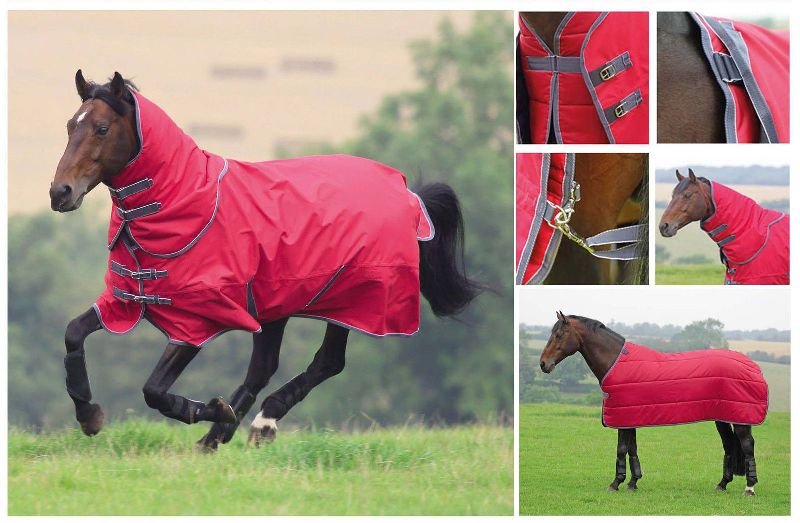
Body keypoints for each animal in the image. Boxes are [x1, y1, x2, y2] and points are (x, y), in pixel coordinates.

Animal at [49, 70, 481, 451]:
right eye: (71, 125)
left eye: (102, 128)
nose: (60, 193)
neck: (184, 202)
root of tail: (410, 196)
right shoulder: (126, 300)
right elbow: (73, 332)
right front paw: (89, 416)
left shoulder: (197, 321)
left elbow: (153, 390)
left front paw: (214, 408)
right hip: (276, 305)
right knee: (267, 366)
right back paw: (220, 436)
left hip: (350, 300)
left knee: (327, 362)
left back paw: (258, 423)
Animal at [540, 312, 767, 495]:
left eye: (558, 335)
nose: (543, 364)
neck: (615, 361)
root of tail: (753, 366)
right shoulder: (629, 416)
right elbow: (632, 449)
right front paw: (633, 482)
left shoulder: (623, 417)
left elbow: (621, 449)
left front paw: (615, 483)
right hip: (722, 417)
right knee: (728, 445)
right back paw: (722, 484)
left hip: (740, 419)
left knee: (747, 446)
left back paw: (749, 488)